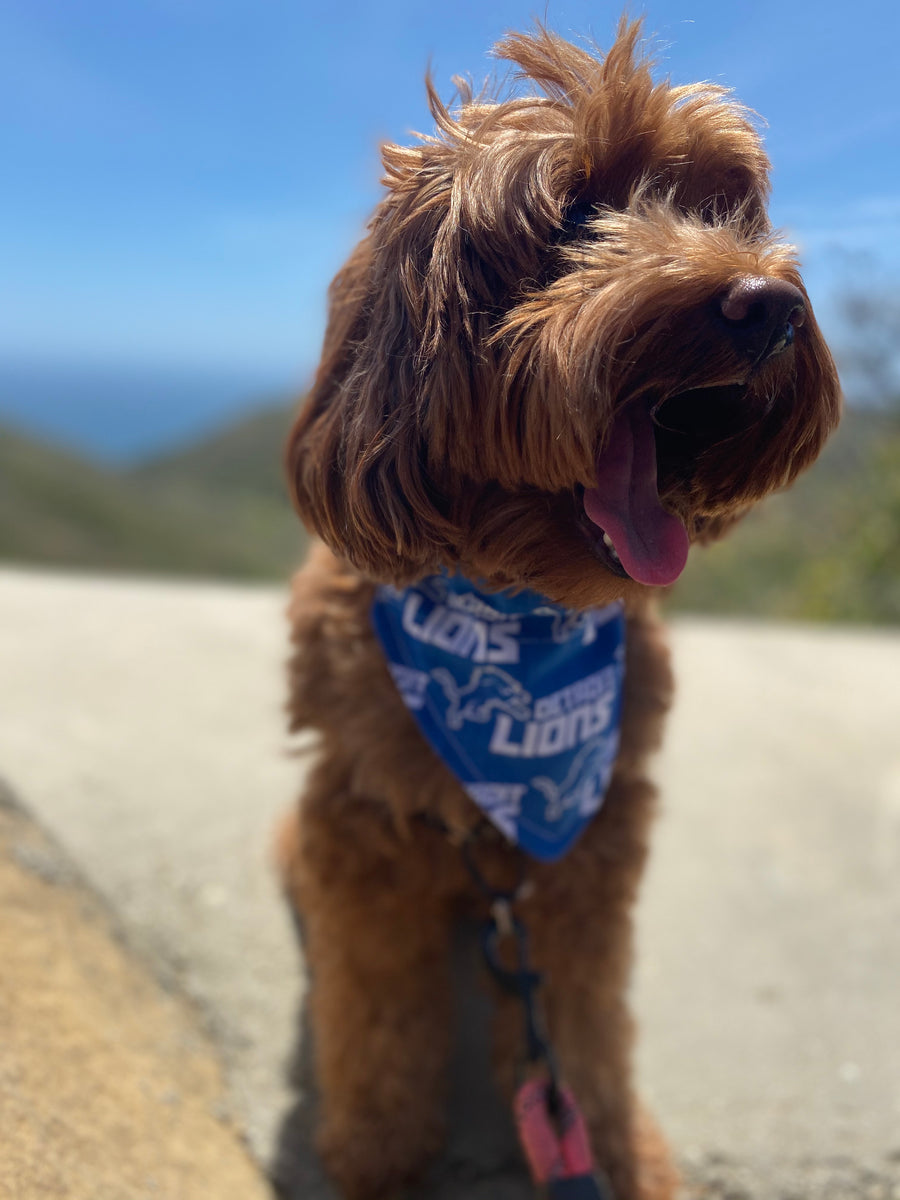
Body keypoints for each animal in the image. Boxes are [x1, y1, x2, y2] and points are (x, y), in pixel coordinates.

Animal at [278, 21, 844, 1200]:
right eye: (576, 212)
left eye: (727, 208)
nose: (770, 306)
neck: (513, 615)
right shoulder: (359, 825)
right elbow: (374, 1012)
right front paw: (377, 1148)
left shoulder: (593, 836)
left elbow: (580, 1028)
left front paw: (613, 1148)